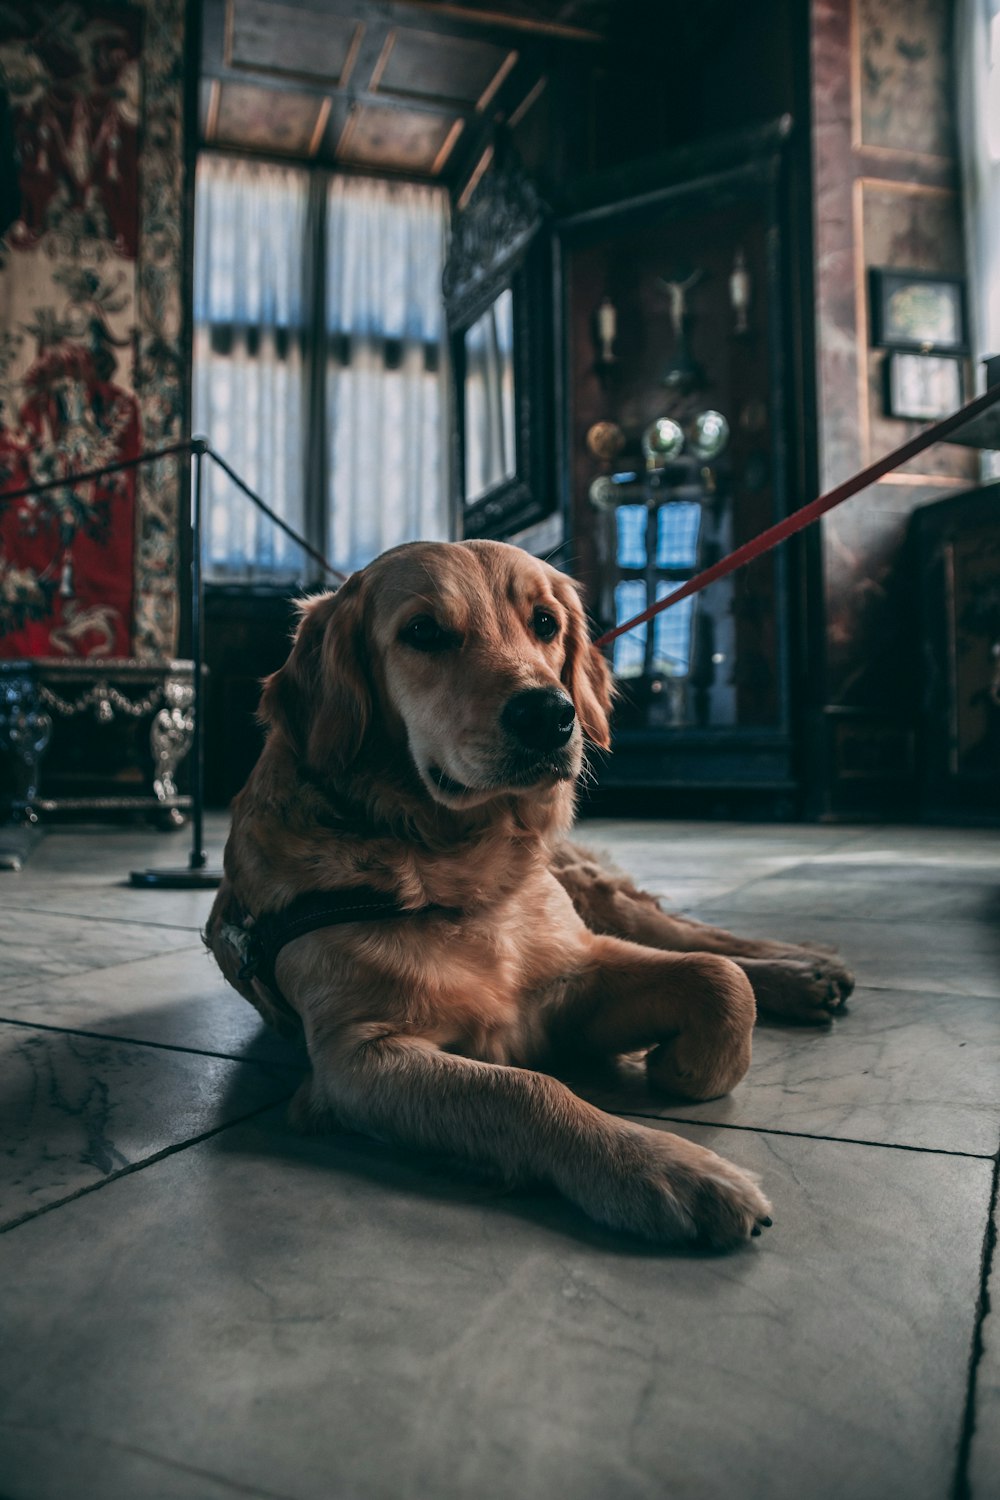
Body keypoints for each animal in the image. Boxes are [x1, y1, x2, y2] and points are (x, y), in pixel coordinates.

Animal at [206, 546, 857, 1248]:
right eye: (422, 632)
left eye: (545, 623)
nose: (549, 713)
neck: (452, 864)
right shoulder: (356, 1057)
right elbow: (524, 1089)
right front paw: (666, 1168)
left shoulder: (575, 966)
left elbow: (719, 978)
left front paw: (682, 1067)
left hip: (585, 891)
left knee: (686, 932)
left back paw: (806, 966)